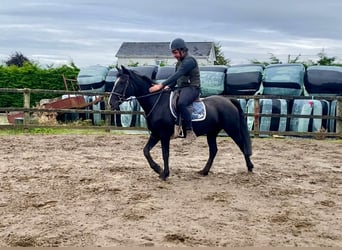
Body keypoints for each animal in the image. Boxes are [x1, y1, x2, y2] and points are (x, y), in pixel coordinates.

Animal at [110, 65, 254, 180]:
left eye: (122, 82)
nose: (111, 102)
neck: (157, 102)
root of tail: (229, 100)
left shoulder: (163, 135)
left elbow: (165, 154)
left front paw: (165, 173)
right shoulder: (155, 134)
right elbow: (146, 151)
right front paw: (158, 169)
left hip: (232, 129)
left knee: (242, 145)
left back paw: (250, 167)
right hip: (212, 133)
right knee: (213, 150)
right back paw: (204, 171)